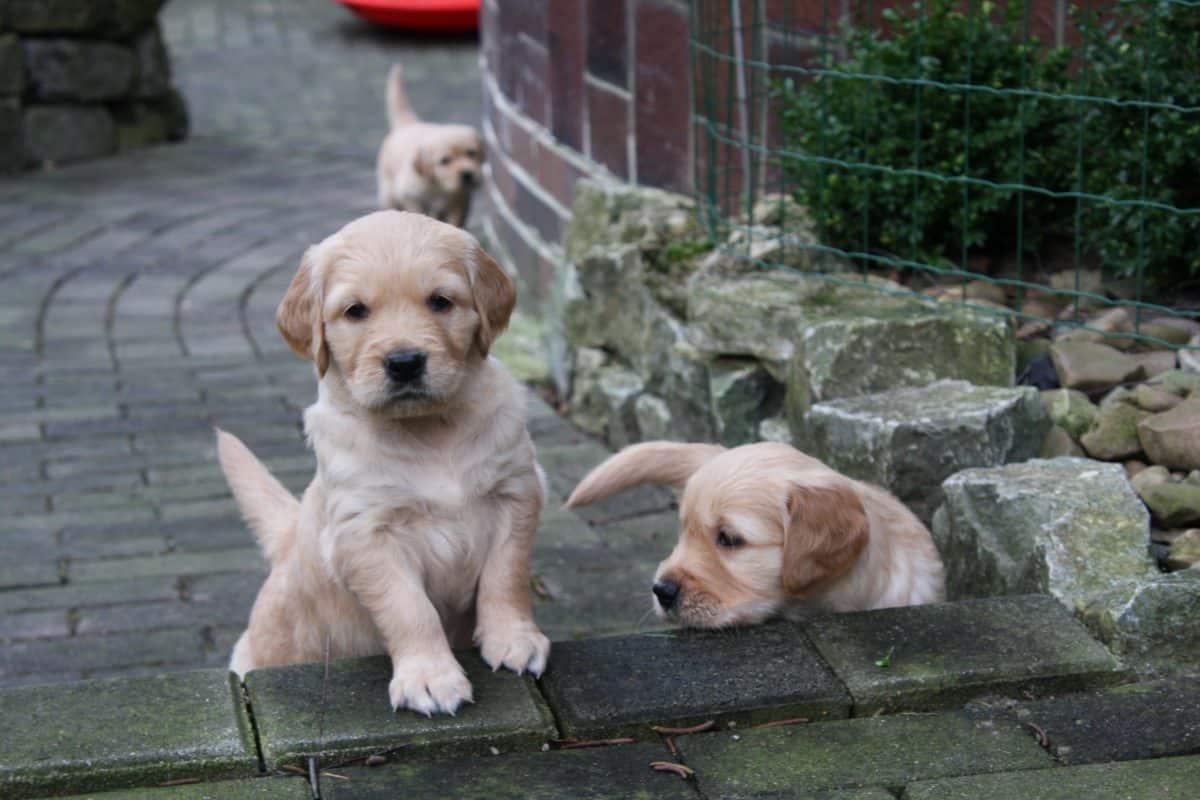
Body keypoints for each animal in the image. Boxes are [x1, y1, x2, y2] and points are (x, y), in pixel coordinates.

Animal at [217, 209, 549, 714]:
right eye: (355, 311)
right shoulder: (365, 534)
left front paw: (515, 639)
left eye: (440, 301)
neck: (430, 431)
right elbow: (409, 607)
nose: (405, 362)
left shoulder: (517, 491)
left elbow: (505, 574)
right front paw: (429, 677)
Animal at [376, 62, 484, 227]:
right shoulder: (410, 195)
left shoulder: (461, 199)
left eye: (471, 153)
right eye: (445, 161)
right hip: (387, 192)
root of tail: (409, 124)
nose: (467, 174)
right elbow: (416, 212)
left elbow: (456, 219)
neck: (439, 187)